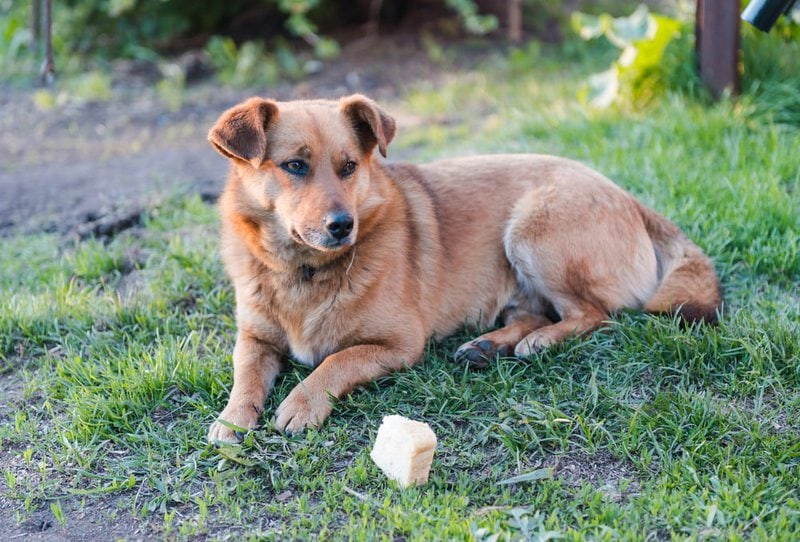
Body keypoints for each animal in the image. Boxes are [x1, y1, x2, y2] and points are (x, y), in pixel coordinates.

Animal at [205, 94, 720, 442]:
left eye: (349, 167)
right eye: (294, 166)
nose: (342, 226)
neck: (304, 271)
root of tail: (628, 197)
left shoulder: (399, 345)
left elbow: (336, 361)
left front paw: (302, 401)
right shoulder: (254, 339)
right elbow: (244, 375)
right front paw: (232, 418)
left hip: (533, 230)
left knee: (595, 315)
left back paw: (539, 341)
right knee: (532, 313)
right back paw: (488, 346)